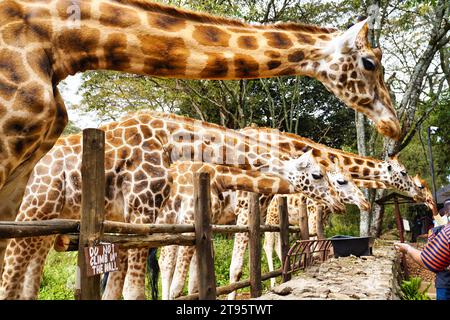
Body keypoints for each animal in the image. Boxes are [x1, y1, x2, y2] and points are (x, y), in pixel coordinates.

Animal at [0, 110, 342, 300]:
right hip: (32, 212)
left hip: (47, 227)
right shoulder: (147, 213)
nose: (339, 203)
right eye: (320, 175)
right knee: (9, 280)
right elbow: (144, 288)